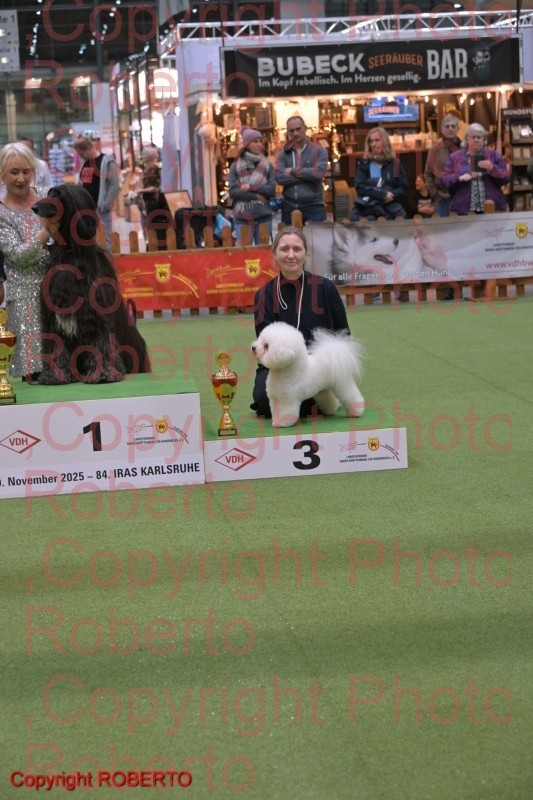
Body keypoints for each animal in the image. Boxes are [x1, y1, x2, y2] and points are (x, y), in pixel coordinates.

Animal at [32, 184, 151, 384]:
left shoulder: (95, 319)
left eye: (59, 195)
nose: (34, 207)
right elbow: (57, 347)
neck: (72, 253)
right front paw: (56, 375)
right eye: (49, 193)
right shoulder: (53, 319)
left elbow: (100, 345)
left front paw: (103, 374)